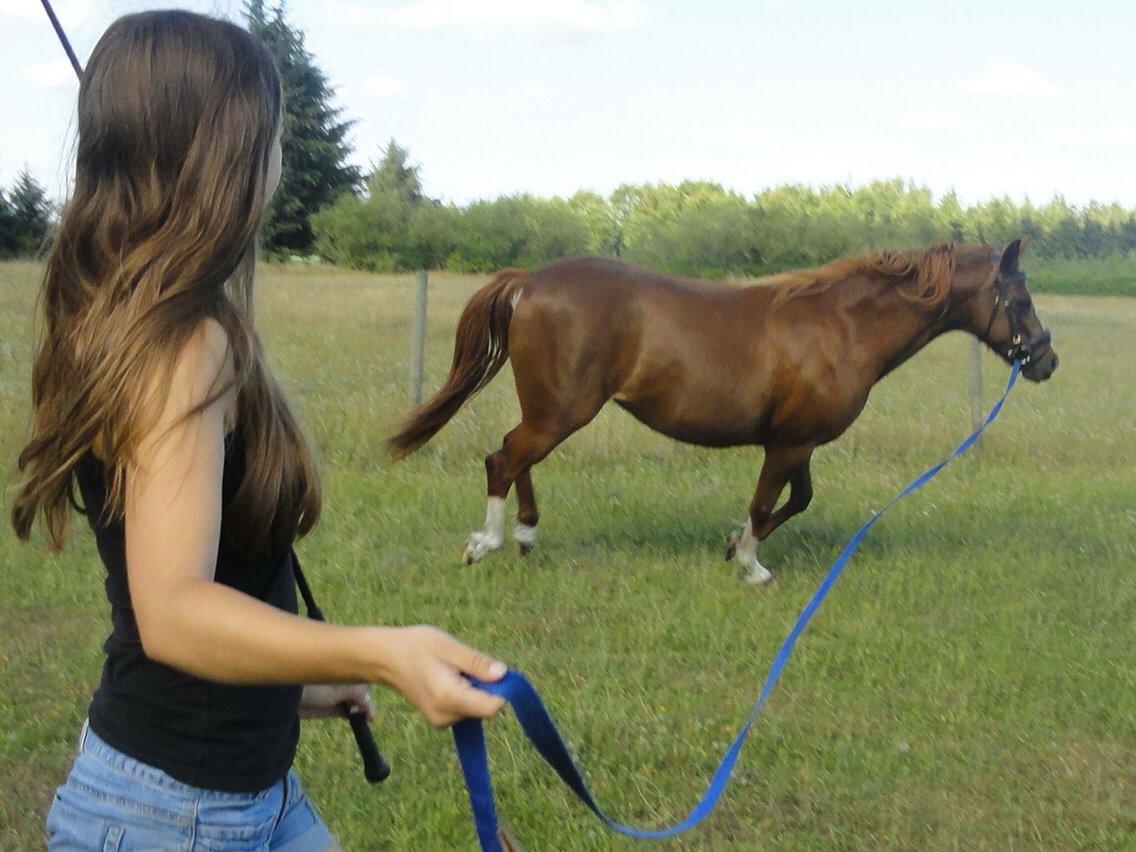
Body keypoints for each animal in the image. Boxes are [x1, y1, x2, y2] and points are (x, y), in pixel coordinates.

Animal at [390, 240, 1054, 586]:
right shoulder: (789, 444)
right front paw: (752, 566)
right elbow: (766, 504)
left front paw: (733, 544)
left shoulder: (796, 440)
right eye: (1021, 299)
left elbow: (797, 500)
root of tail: (531, 281)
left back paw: (527, 534)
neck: (841, 326)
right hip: (562, 412)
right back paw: (487, 543)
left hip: (551, 411)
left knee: (516, 454)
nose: (1046, 360)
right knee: (503, 458)